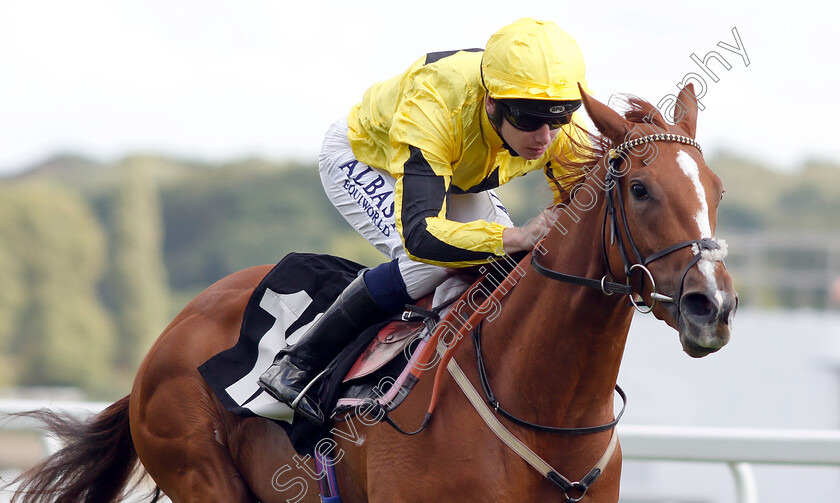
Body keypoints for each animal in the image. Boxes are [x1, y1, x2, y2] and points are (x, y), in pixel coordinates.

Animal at [11, 83, 736, 503]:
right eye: (640, 189)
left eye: (718, 189)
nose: (713, 305)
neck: (542, 407)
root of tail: (167, 337)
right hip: (199, 471)